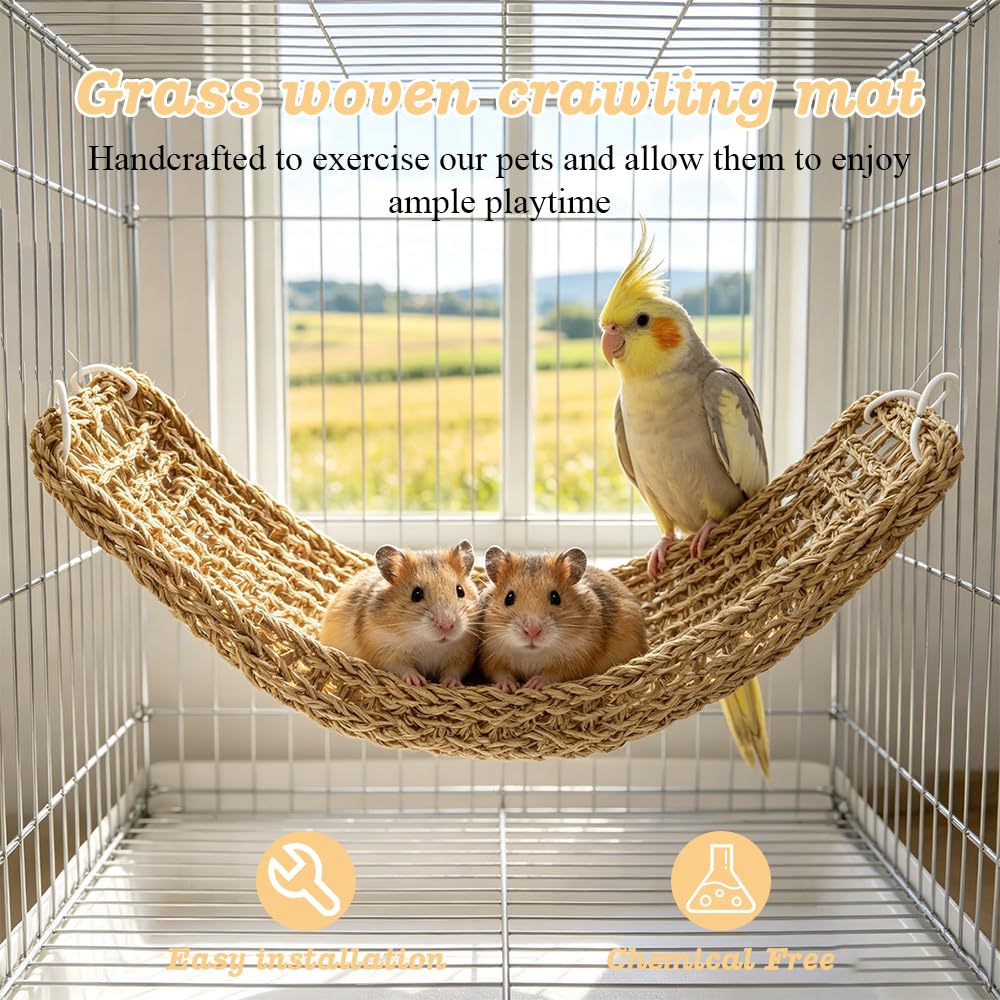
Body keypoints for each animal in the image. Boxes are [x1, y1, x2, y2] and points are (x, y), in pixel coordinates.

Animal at [319, 540, 479, 687]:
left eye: (460, 591)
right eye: (416, 594)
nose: (446, 625)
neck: (429, 643)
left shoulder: (463, 654)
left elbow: (453, 671)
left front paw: (451, 684)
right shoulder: (383, 650)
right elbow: (402, 667)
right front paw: (418, 681)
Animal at [477, 546, 648, 692]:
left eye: (555, 597)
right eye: (509, 598)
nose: (532, 631)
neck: (531, 654)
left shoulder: (577, 659)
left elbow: (553, 674)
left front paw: (533, 684)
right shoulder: (491, 656)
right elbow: (501, 674)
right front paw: (509, 687)